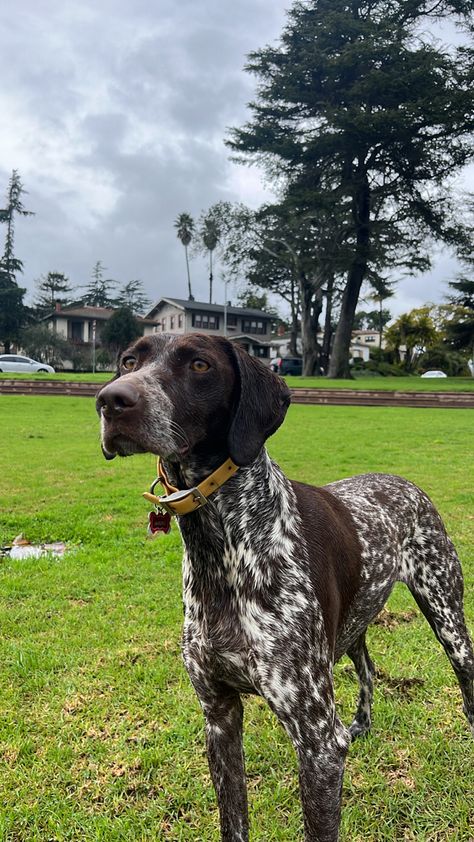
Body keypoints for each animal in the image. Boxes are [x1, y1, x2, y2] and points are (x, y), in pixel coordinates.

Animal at [97, 334, 474, 840]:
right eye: (128, 361)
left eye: (200, 364)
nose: (111, 400)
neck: (224, 546)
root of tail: (402, 482)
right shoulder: (219, 717)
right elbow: (233, 821)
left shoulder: (318, 744)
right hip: (352, 626)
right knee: (368, 667)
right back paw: (362, 725)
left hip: (447, 618)